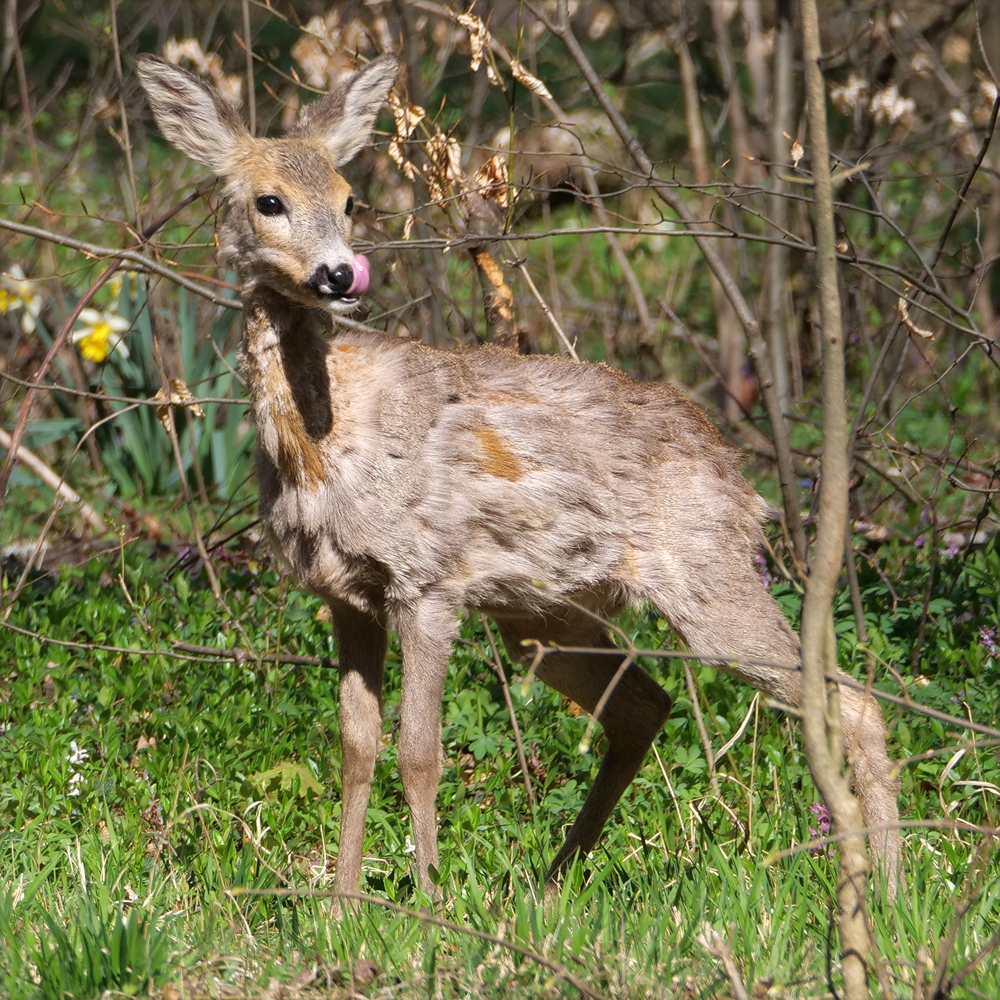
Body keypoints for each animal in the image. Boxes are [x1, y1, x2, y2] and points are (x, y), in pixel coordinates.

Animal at [137, 50, 904, 900]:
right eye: (268, 201)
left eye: (348, 197)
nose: (339, 274)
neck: (323, 448)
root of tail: (736, 473)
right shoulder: (344, 593)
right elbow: (356, 747)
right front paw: (342, 901)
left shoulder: (428, 582)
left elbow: (420, 751)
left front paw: (428, 900)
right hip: (545, 613)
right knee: (646, 704)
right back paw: (554, 881)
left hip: (705, 577)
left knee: (852, 701)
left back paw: (885, 887)